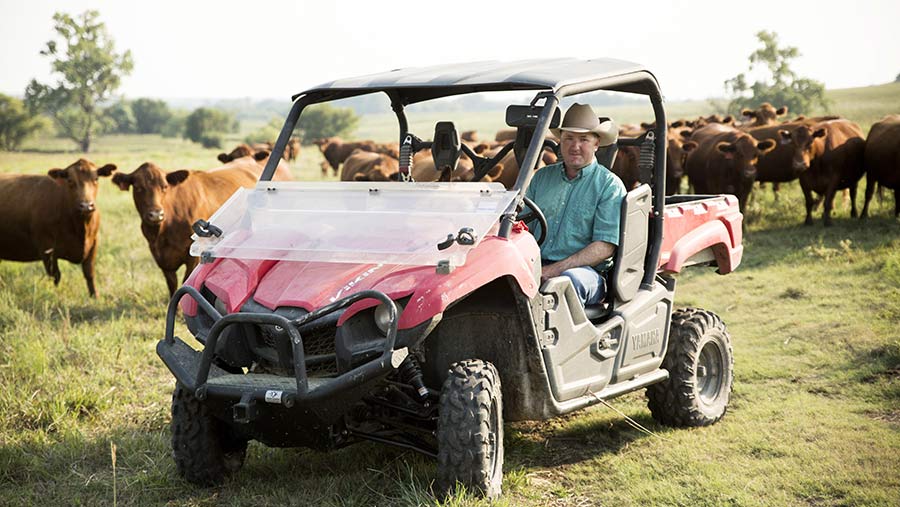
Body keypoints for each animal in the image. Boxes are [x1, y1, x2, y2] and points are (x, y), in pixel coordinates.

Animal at [0, 159, 116, 297]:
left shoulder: (93, 243)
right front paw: (54, 294)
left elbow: (90, 274)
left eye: (96, 178)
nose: (86, 206)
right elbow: (55, 276)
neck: (80, 227)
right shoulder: (46, 248)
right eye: (70, 180)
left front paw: (95, 297)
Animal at [112, 160, 260, 295]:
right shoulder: (162, 259)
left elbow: (186, 282)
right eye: (138, 187)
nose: (156, 214)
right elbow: (172, 286)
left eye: (164, 187)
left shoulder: (193, 258)